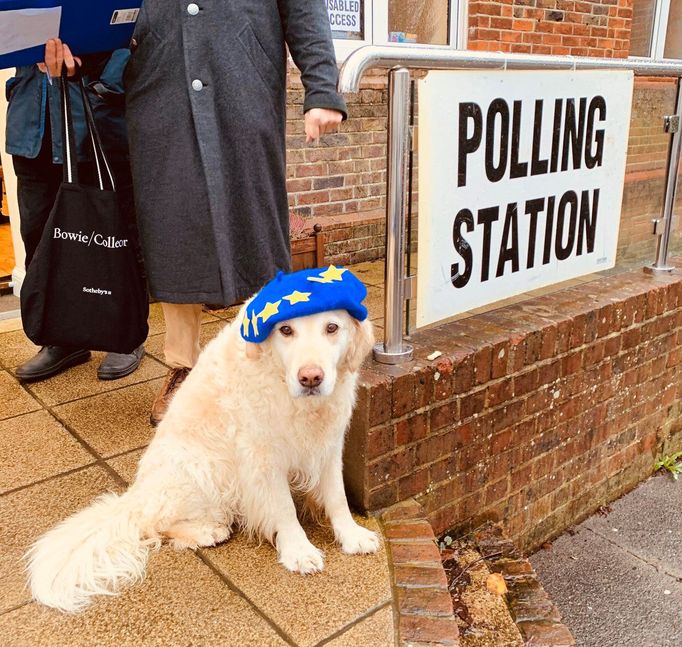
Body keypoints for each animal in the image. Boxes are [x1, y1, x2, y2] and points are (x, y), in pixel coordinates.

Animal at [26, 304, 378, 612]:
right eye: (286, 330)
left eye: (332, 328)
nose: (311, 378)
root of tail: (136, 498)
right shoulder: (262, 457)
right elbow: (284, 509)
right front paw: (299, 550)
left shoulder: (329, 445)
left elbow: (337, 498)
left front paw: (351, 535)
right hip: (202, 468)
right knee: (157, 524)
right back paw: (207, 532)